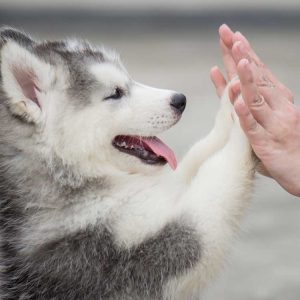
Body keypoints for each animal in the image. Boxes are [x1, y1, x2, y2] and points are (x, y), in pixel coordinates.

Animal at [0, 27, 255, 298]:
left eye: (129, 80)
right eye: (115, 93)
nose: (180, 100)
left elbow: (197, 156)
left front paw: (231, 103)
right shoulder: (128, 255)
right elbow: (217, 179)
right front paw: (245, 121)